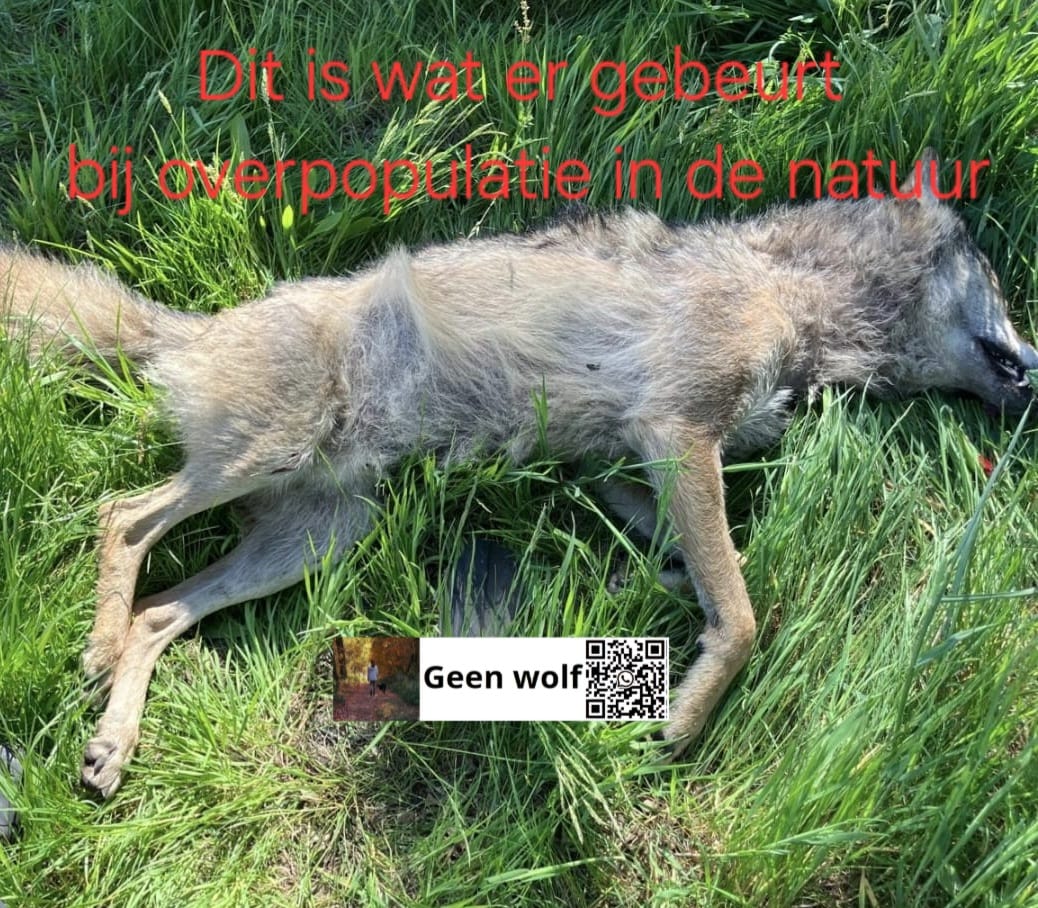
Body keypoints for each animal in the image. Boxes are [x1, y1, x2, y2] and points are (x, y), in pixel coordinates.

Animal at [2, 153, 1036, 798]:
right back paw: (93, 652)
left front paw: (651, 581)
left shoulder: (626, 459)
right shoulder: (677, 432)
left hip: (317, 540)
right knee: (124, 516)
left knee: (161, 612)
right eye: (997, 276)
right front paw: (682, 720)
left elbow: (689, 559)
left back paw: (111, 743)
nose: (1035, 373)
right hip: (266, 467)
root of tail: (186, 326)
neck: (792, 292)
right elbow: (744, 615)